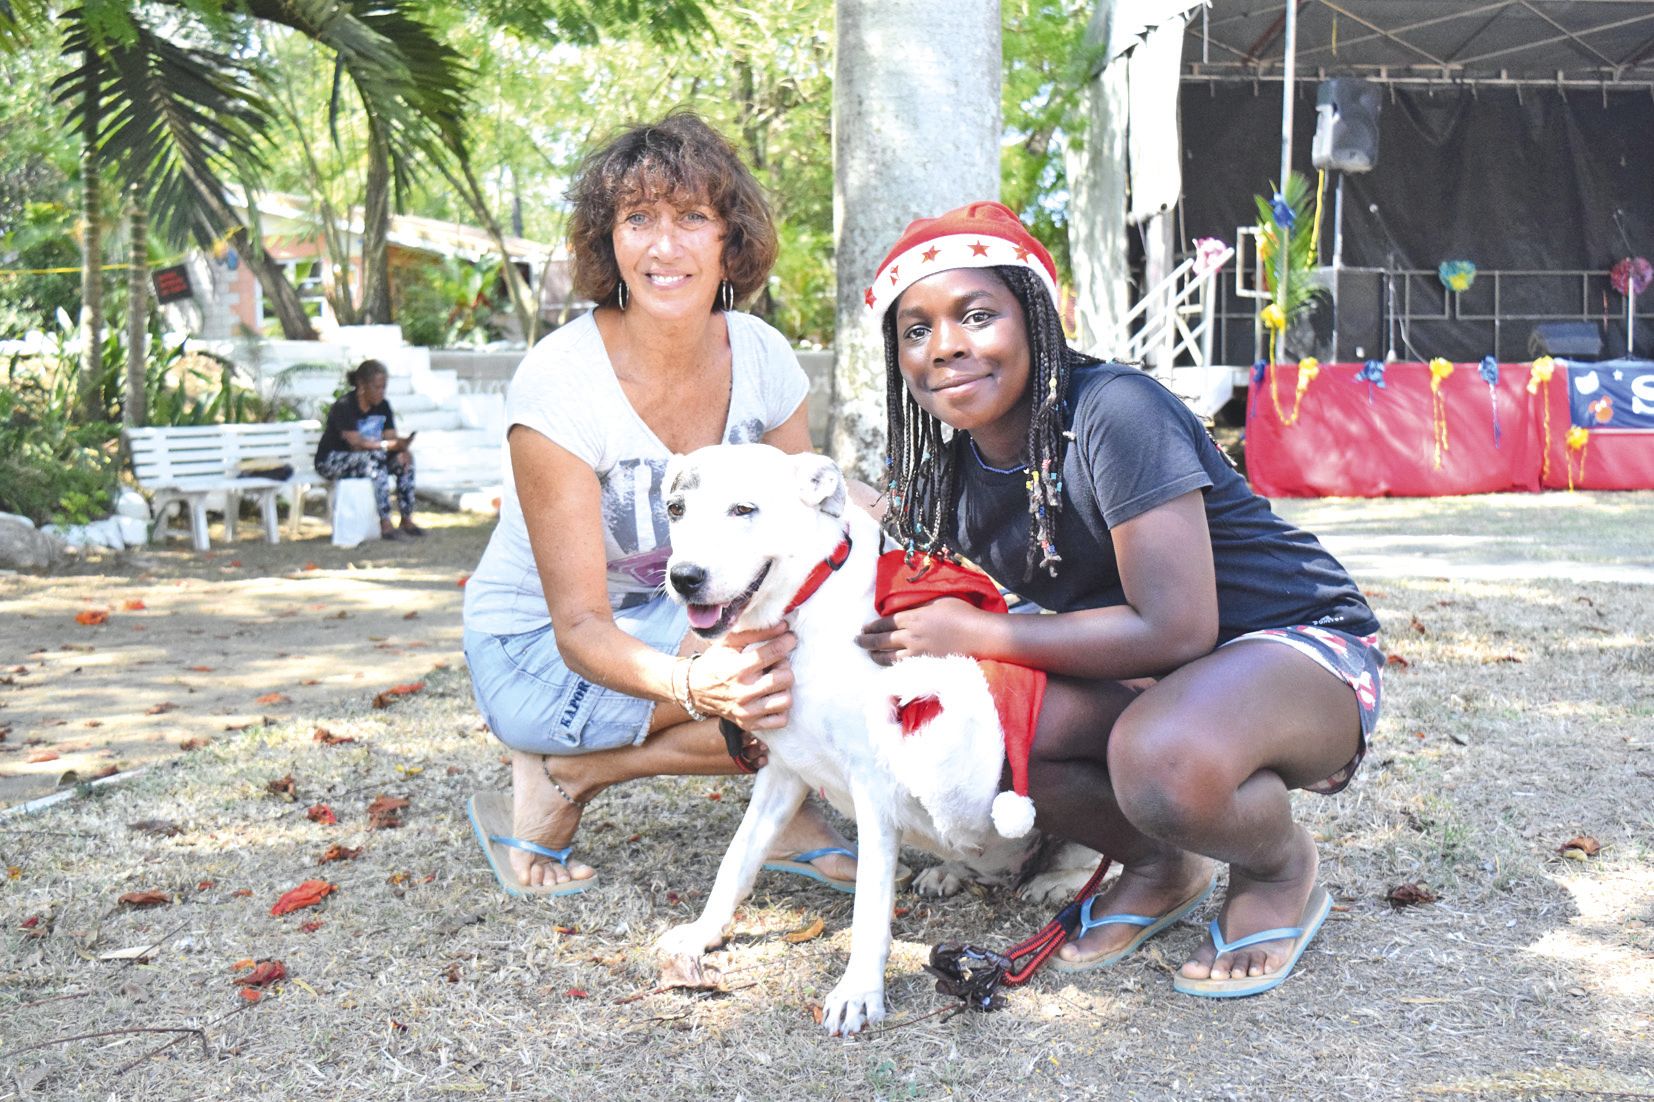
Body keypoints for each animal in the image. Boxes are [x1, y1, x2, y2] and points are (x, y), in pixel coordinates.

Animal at [651, 443, 1091, 1032]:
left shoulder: (873, 787)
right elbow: (737, 859)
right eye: (675, 509)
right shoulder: (782, 772)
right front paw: (703, 934)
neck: (806, 610)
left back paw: (1063, 885)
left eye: (743, 509)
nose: (684, 577)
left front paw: (859, 991)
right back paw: (951, 872)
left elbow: (869, 904)